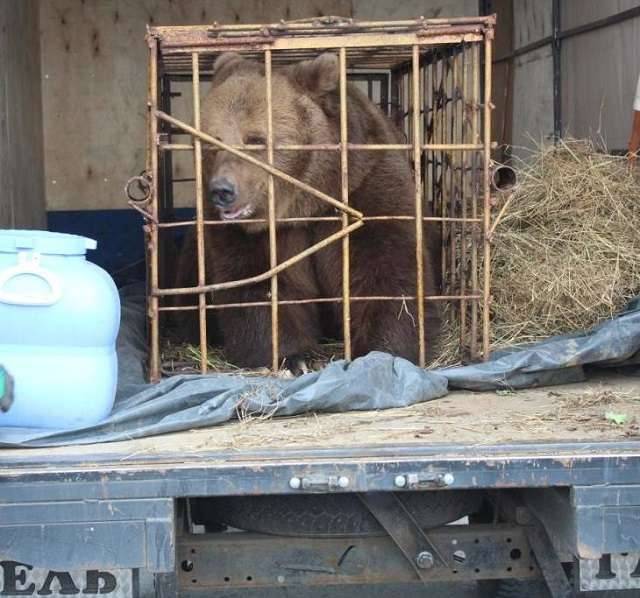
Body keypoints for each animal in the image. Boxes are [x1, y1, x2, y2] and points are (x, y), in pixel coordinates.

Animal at [176, 52, 444, 370]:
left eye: (255, 139)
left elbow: (385, 270)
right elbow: (258, 282)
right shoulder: (251, 234)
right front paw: (292, 358)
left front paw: (380, 350)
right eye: (211, 143)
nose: (223, 190)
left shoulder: (366, 188)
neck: (305, 203)